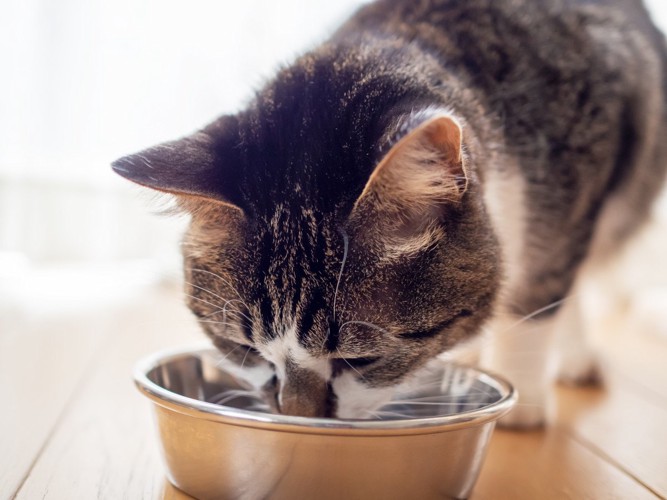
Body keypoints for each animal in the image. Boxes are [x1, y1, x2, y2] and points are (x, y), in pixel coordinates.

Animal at [115, 0, 667, 428]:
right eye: (245, 350)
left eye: (361, 360)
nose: (298, 417)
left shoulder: (574, 192)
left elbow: (538, 297)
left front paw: (524, 401)